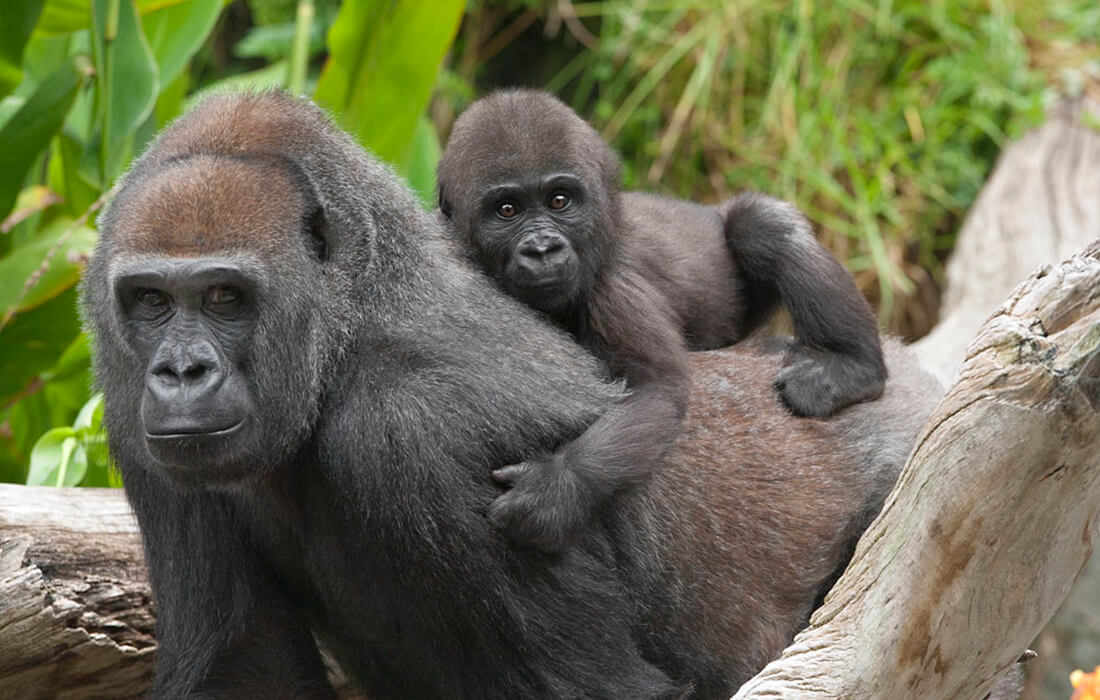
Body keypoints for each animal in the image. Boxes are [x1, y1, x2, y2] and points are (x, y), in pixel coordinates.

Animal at [435, 87, 884, 550]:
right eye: (507, 210)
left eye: (559, 200)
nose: (542, 249)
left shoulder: (614, 292)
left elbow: (658, 389)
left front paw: (556, 488)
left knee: (760, 226)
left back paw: (849, 365)